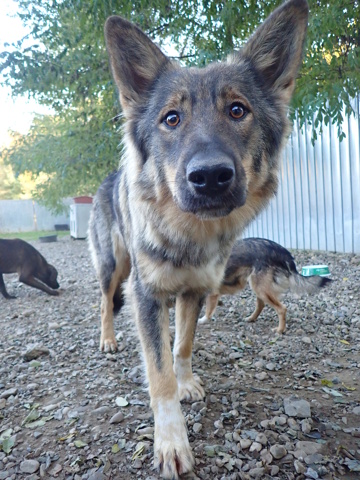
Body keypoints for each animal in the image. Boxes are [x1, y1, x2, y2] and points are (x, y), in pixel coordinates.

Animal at [88, 1, 308, 478]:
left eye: (238, 110)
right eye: (171, 119)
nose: (209, 176)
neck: (190, 234)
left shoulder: (193, 292)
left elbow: (184, 343)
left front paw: (186, 381)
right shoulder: (148, 295)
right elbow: (159, 374)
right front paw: (172, 442)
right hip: (114, 267)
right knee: (105, 302)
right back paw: (108, 339)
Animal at [198, 237, 330, 334]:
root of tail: (282, 251)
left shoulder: (212, 293)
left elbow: (208, 311)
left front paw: (202, 320)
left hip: (260, 288)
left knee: (281, 308)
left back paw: (280, 330)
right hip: (259, 287)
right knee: (261, 305)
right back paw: (251, 318)